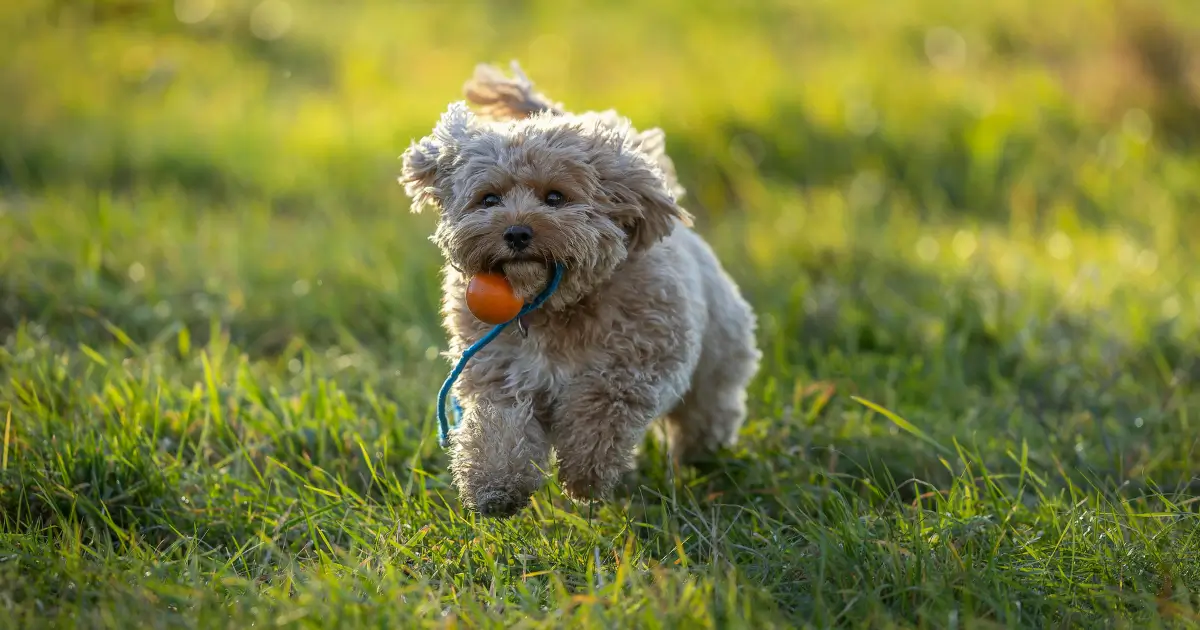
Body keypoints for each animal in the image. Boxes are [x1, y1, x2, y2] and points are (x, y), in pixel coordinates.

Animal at [400, 62, 758, 516]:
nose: (516, 233)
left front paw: (586, 476)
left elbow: (601, 413)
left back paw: (703, 458)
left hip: (717, 359)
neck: (553, 308)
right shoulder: (501, 375)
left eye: (556, 197)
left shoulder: (630, 367)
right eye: (489, 199)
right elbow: (498, 429)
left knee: (706, 411)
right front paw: (495, 488)